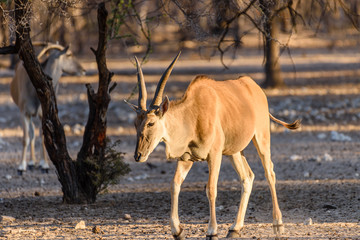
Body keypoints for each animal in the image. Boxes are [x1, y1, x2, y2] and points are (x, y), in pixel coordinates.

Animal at [10, 43, 85, 174]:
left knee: (34, 133)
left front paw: (44, 164)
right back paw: (30, 162)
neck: (34, 89)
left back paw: (33, 162)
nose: (83, 70)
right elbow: (25, 138)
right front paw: (21, 166)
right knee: (31, 133)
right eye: (69, 54)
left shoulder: (42, 115)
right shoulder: (24, 113)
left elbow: (43, 137)